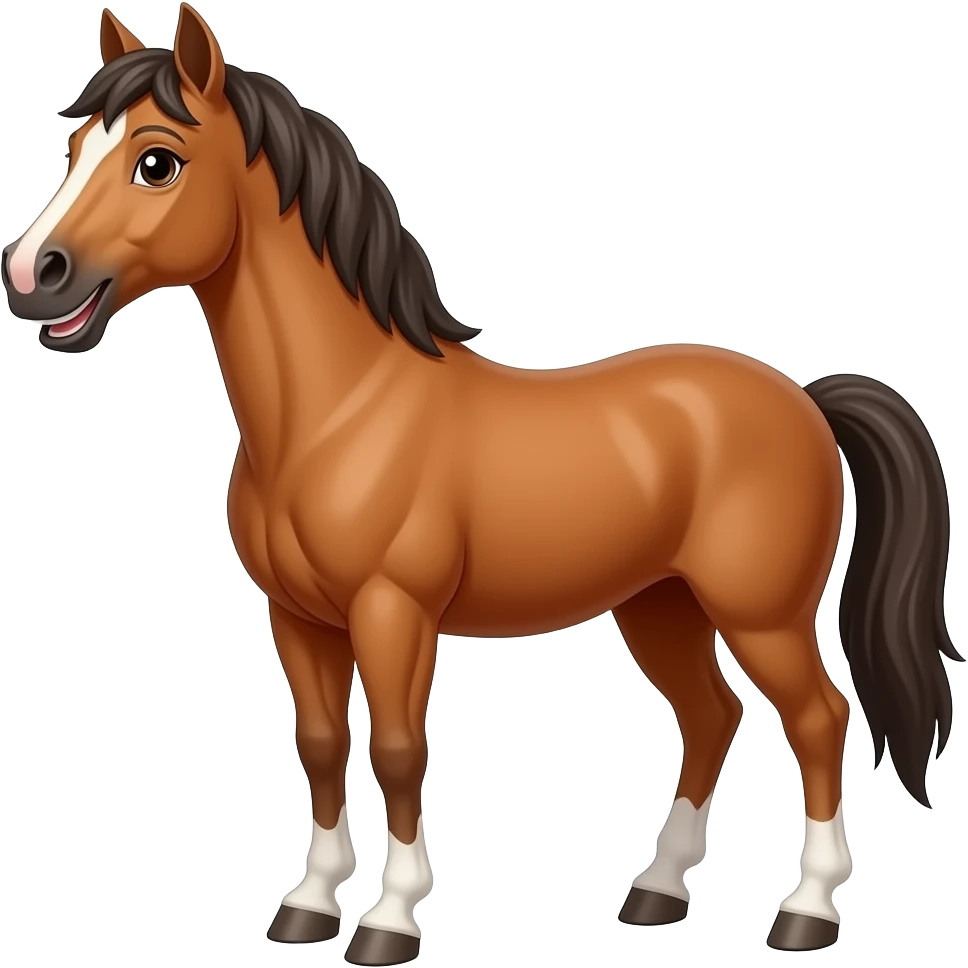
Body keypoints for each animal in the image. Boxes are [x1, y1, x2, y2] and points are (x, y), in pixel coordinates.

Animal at [1, 5, 959, 962]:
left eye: (157, 160)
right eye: (75, 146)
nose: (31, 274)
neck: (344, 411)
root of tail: (804, 399)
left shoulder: (393, 611)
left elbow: (397, 750)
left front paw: (389, 920)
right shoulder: (299, 618)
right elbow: (320, 745)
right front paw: (309, 904)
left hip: (761, 614)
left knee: (819, 719)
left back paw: (807, 910)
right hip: (661, 606)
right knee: (711, 717)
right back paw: (657, 891)